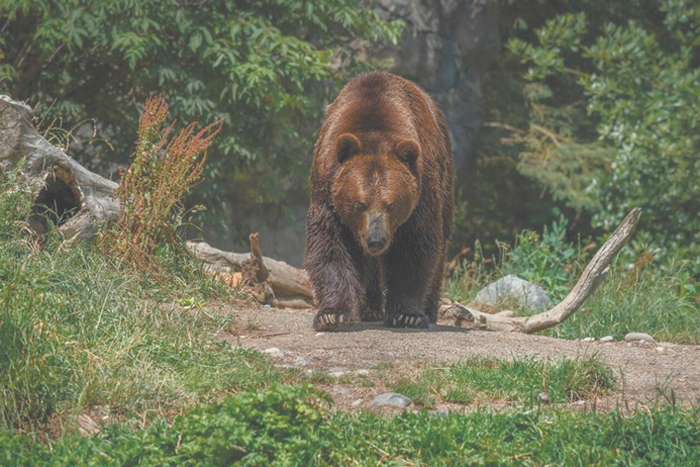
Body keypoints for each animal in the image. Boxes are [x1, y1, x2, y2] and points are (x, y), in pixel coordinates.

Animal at [304, 71, 456, 330]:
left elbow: (414, 247)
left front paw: (407, 315)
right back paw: (370, 307)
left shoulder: (422, 191)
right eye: (360, 204)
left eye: (391, 204)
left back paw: (428, 309)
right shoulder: (327, 187)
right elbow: (330, 245)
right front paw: (332, 314)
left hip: (445, 182)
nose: (376, 240)